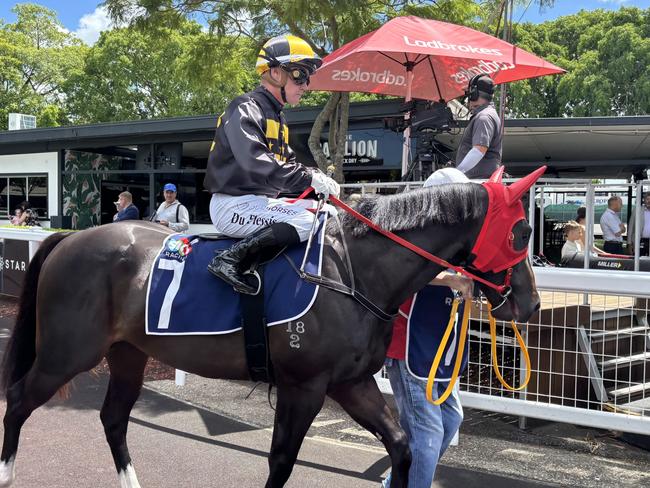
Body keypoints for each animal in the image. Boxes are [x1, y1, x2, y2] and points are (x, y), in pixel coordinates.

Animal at [0, 169, 540, 488]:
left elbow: (402, 445)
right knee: (20, 400)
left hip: (128, 353)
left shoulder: (351, 383)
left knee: (112, 418)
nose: (530, 304)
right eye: (523, 232)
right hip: (67, 353)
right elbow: (281, 459)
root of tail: (70, 239)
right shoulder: (303, 386)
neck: (351, 271)